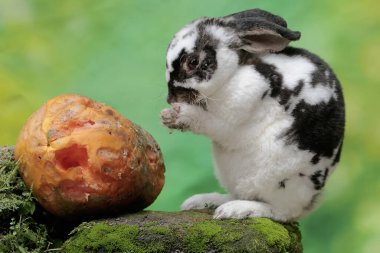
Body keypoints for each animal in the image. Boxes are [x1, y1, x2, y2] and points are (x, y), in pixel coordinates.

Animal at [160, 8, 344, 221]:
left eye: (193, 61)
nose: (172, 98)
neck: (233, 75)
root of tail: (312, 200)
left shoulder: (232, 112)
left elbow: (209, 121)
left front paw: (174, 115)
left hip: (282, 181)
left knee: (282, 211)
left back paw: (236, 210)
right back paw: (203, 201)